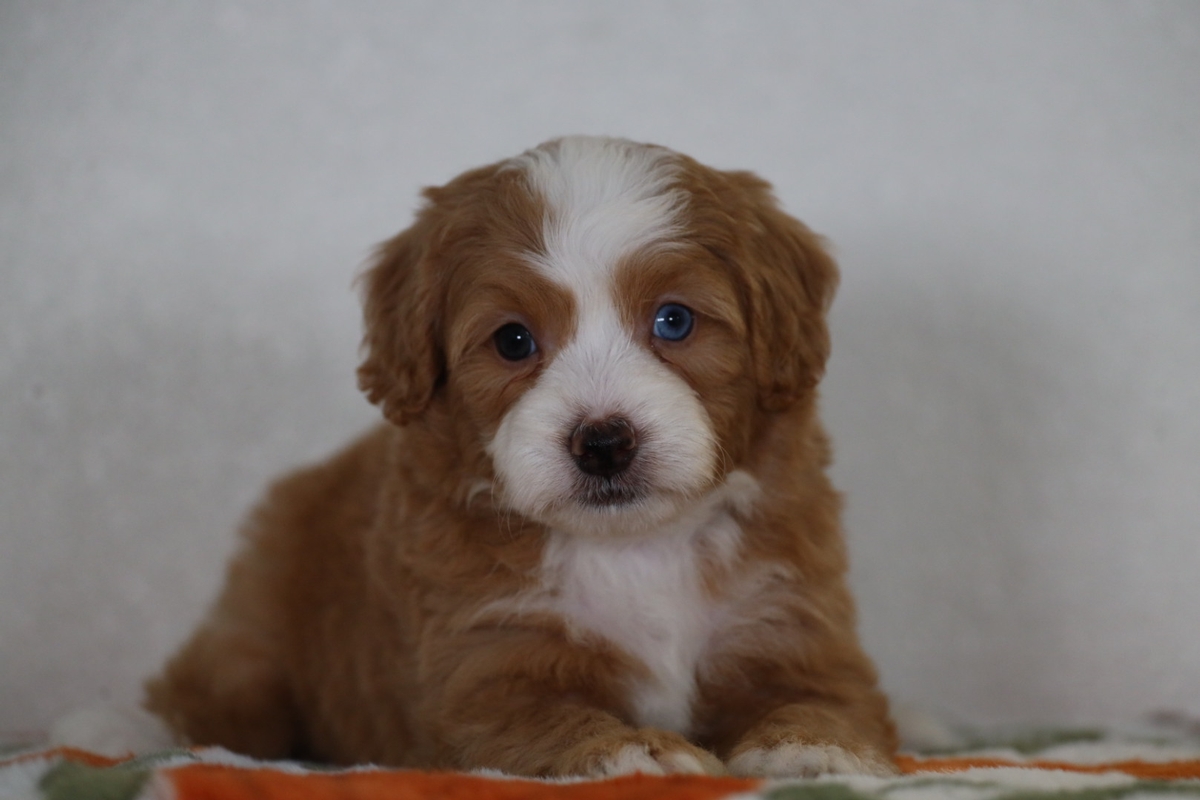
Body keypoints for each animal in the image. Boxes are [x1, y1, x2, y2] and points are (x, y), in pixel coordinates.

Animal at [145, 136, 897, 778]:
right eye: (512, 340)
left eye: (675, 321)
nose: (603, 442)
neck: (634, 548)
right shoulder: (488, 666)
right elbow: (548, 720)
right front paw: (637, 751)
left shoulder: (790, 620)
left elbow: (827, 699)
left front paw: (812, 748)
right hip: (255, 636)